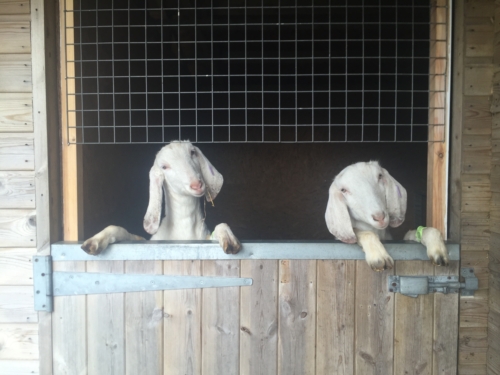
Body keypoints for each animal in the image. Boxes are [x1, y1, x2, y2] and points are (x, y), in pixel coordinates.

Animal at [81, 141, 241, 256]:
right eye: (164, 167)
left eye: (192, 152)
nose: (197, 185)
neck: (184, 228)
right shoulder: (146, 241)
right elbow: (122, 230)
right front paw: (94, 241)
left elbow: (221, 226)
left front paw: (229, 240)